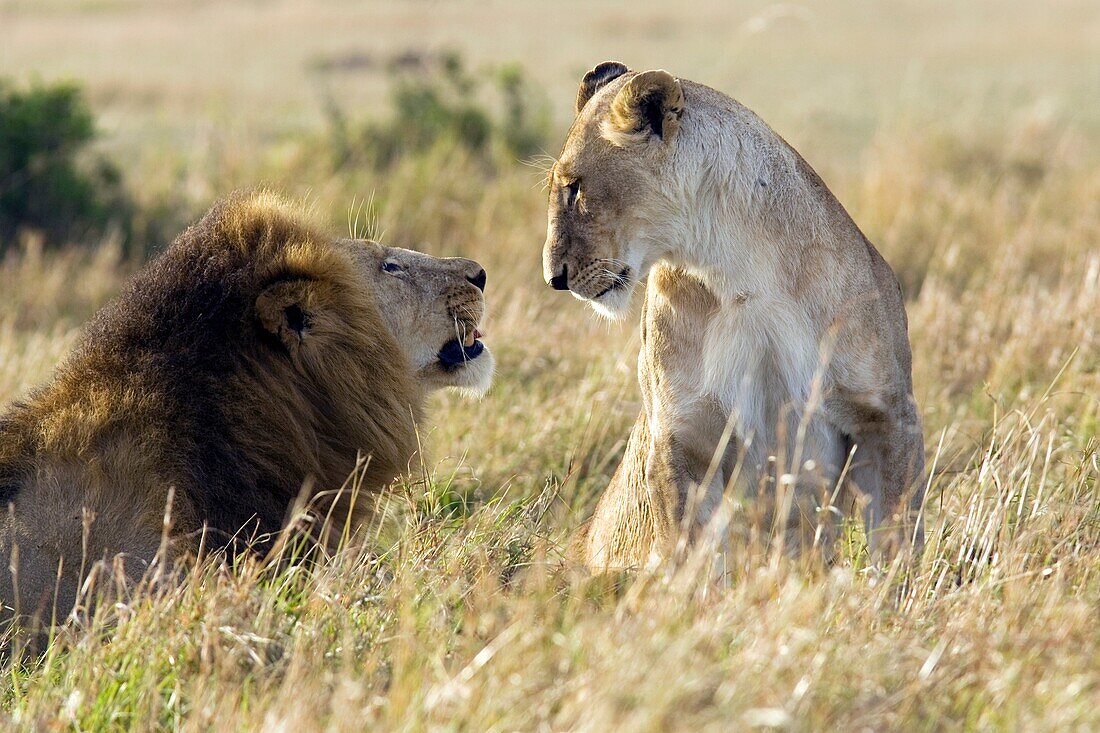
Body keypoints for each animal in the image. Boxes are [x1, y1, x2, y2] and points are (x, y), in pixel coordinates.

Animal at [545, 61, 924, 563]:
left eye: (574, 188)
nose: (553, 277)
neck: (737, 271)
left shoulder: (887, 417)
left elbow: (898, 537)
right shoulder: (681, 438)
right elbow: (690, 556)